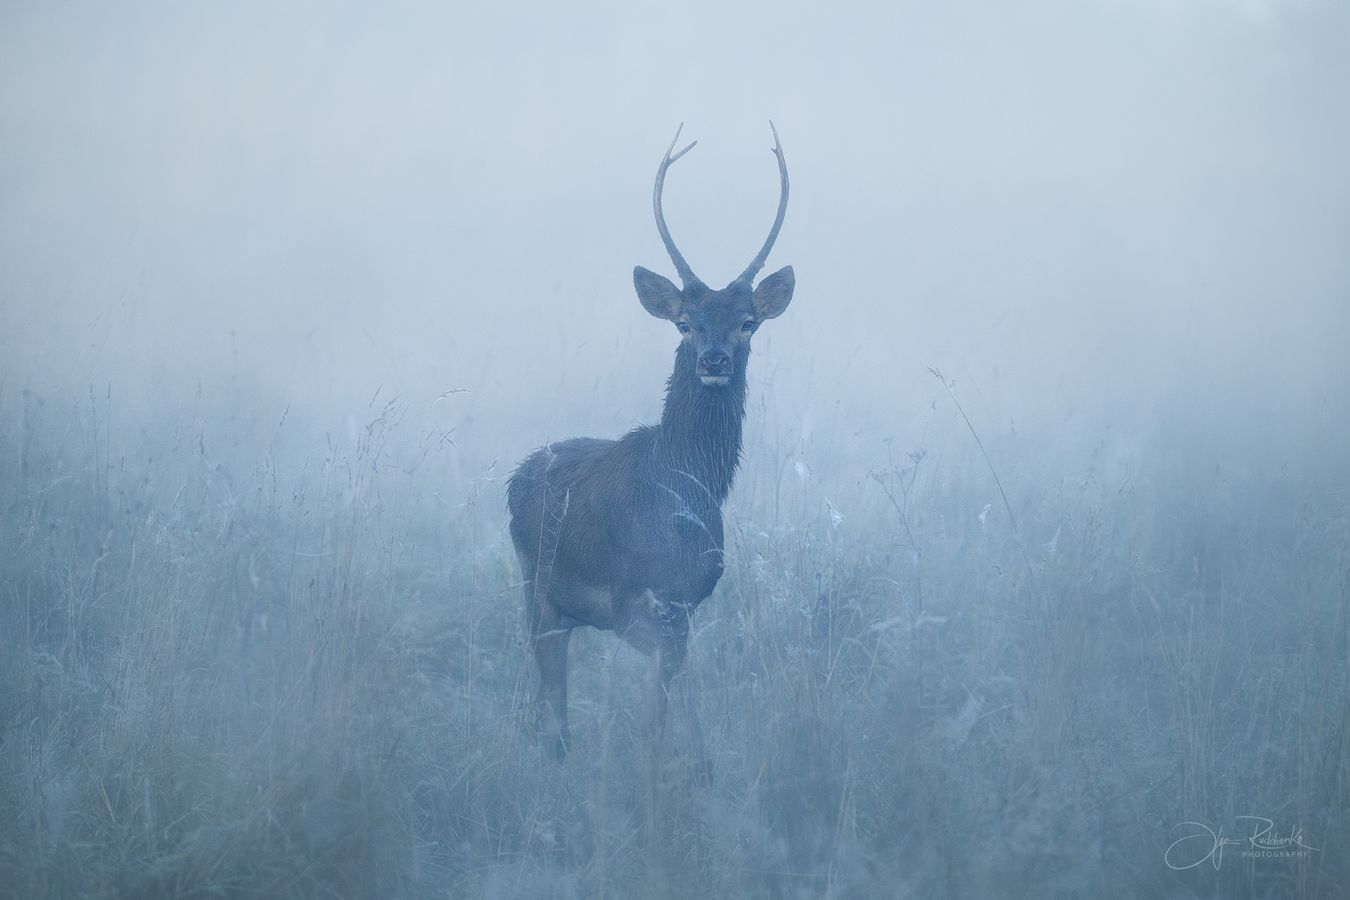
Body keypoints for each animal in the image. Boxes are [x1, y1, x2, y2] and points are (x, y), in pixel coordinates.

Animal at [507, 123, 794, 772]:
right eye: (685, 323)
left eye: (747, 323)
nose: (713, 359)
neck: (682, 487)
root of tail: (515, 474)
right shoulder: (635, 603)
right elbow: (661, 703)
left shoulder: (686, 603)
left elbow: (676, 699)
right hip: (537, 588)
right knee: (553, 700)